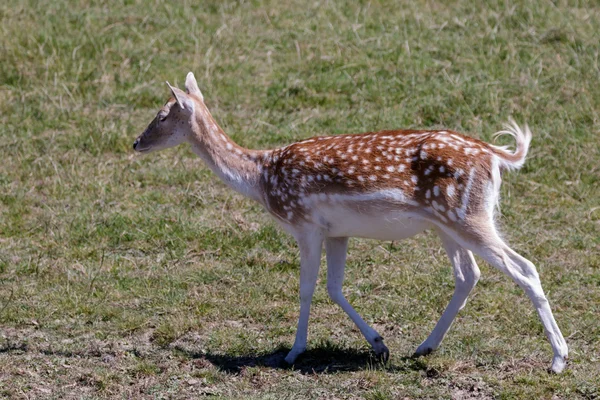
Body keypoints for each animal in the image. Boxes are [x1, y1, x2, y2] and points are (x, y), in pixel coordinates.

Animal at [132, 71, 568, 372]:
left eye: (162, 115)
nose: (135, 142)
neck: (260, 178)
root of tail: (497, 155)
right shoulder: (336, 232)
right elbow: (334, 286)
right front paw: (379, 344)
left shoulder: (305, 224)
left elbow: (306, 288)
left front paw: (292, 353)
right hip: (447, 223)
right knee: (468, 275)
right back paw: (423, 347)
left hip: (467, 216)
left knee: (524, 268)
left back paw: (559, 359)